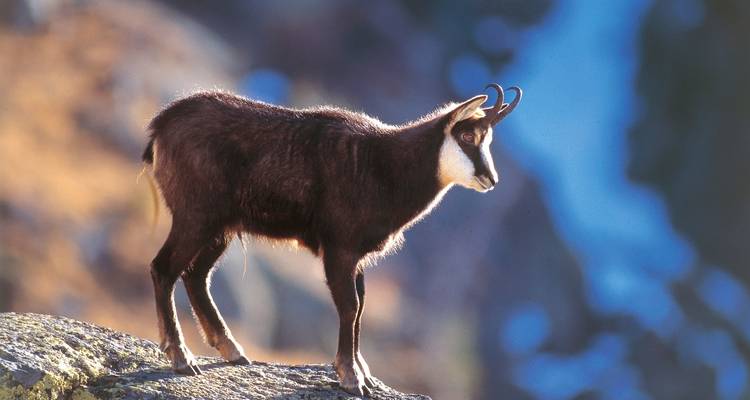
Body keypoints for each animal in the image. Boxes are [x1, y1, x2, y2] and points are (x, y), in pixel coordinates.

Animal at [141, 83, 521, 396]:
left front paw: (362, 372)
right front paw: (351, 377)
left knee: (196, 274)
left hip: (221, 227)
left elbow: (361, 306)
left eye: (488, 140)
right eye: (468, 137)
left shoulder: (358, 257)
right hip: (196, 216)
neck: (384, 166)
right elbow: (350, 306)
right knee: (164, 268)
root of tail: (161, 125)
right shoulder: (340, 248)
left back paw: (232, 350)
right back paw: (181, 357)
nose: (490, 179)